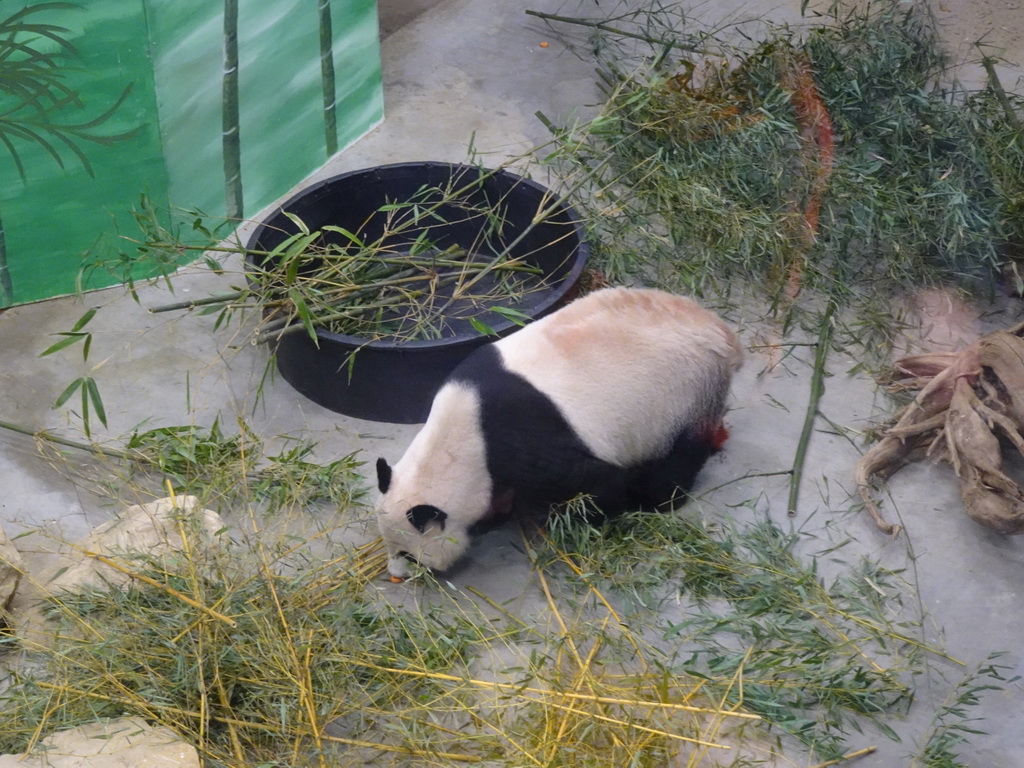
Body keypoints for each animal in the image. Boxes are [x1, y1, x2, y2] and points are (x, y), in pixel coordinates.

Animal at [372, 286, 741, 581]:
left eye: (408, 555)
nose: (395, 575)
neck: (464, 435)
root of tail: (723, 333)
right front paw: (497, 512)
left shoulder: (524, 439)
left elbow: (594, 483)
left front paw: (588, 516)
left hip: (684, 393)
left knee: (676, 461)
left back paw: (655, 497)